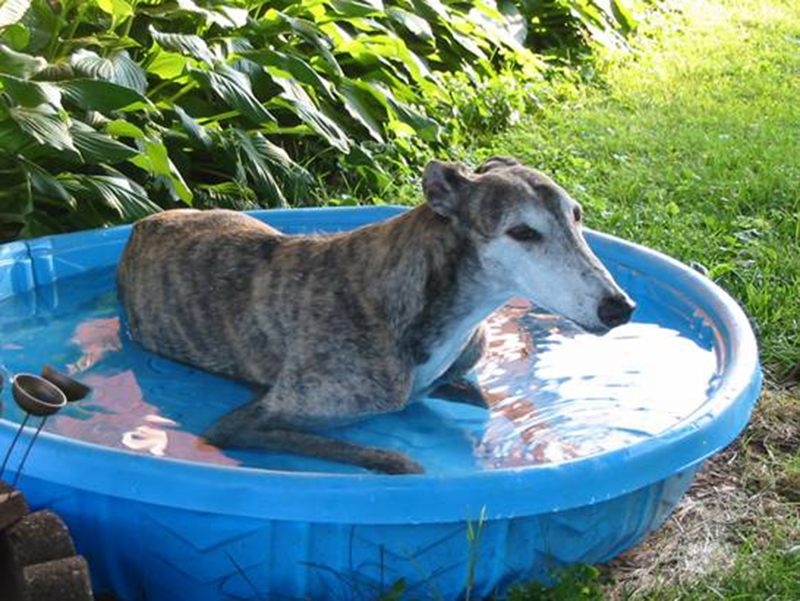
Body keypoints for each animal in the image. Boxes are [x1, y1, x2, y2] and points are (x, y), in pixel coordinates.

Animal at [119, 158, 636, 474]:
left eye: (577, 215)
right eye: (522, 232)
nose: (620, 307)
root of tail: (143, 222)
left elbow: (483, 401)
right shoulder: (240, 424)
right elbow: (396, 460)